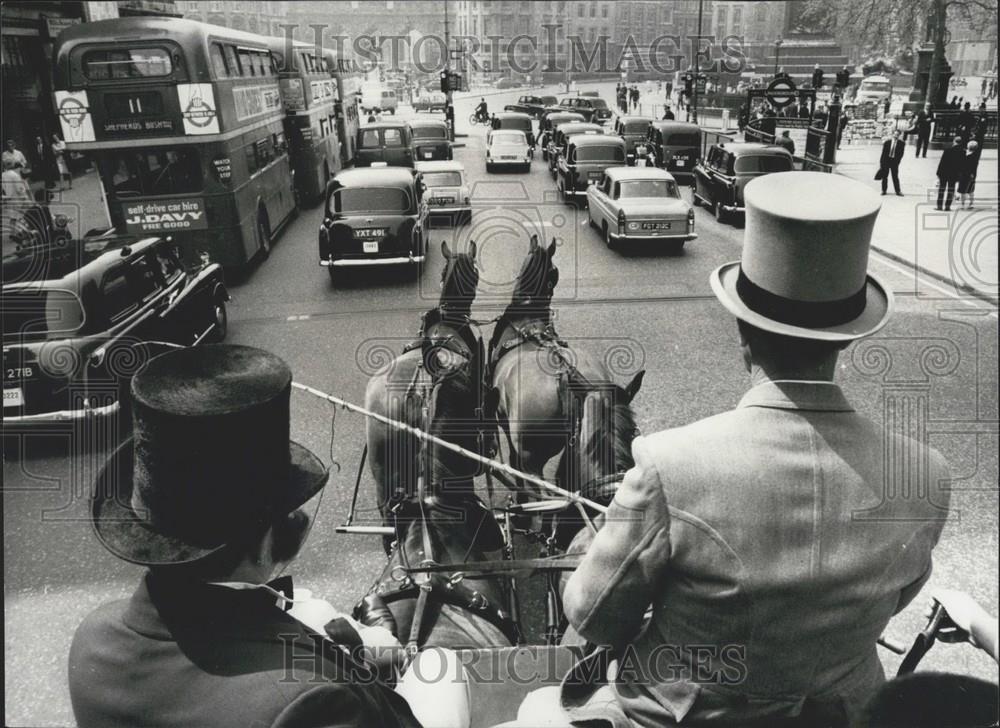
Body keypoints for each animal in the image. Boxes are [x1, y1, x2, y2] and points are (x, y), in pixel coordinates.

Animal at [488, 236, 644, 498]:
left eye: (554, 271)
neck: (527, 323)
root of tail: (565, 379)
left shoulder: (504, 421)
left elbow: (512, 459)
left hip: (532, 459)